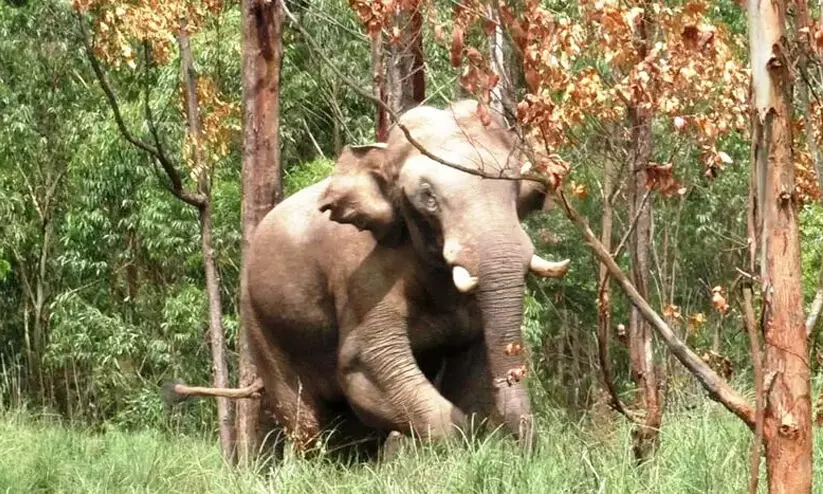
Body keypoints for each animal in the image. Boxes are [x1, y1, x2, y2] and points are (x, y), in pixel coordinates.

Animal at [170, 99, 569, 454]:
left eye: (519, 188)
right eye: (428, 197)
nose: (526, 450)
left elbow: (472, 357)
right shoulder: (362, 275)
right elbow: (364, 362)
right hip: (260, 323)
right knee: (303, 418)